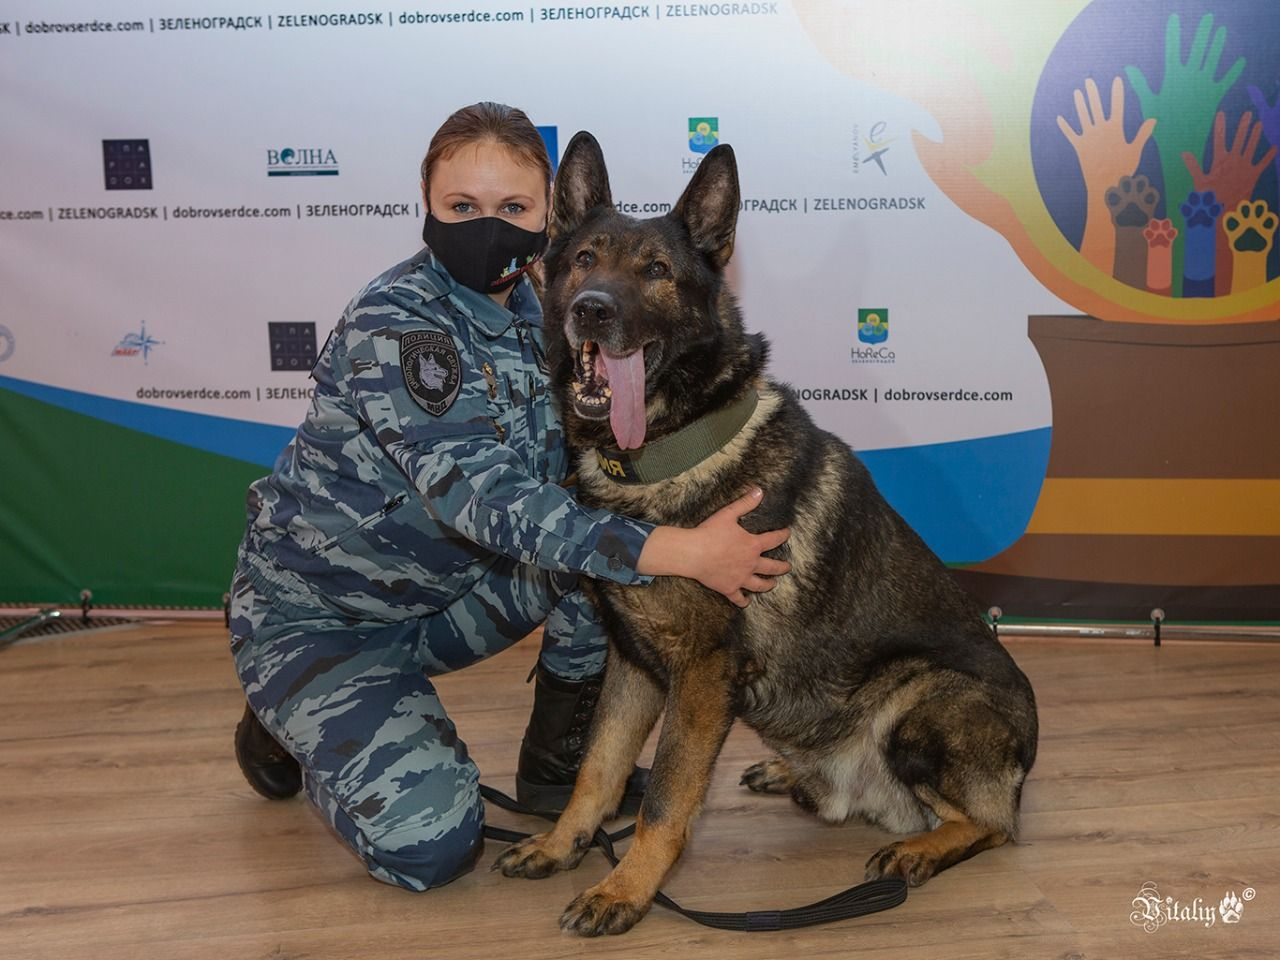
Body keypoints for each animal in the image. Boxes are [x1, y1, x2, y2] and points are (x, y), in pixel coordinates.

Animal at [491, 135, 1039, 942]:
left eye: (656, 272)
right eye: (585, 259)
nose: (592, 310)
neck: (667, 450)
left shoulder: (701, 674)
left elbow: (666, 799)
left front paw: (625, 890)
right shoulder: (634, 665)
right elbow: (598, 769)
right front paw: (564, 846)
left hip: (923, 701)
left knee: (994, 823)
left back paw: (919, 849)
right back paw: (793, 773)